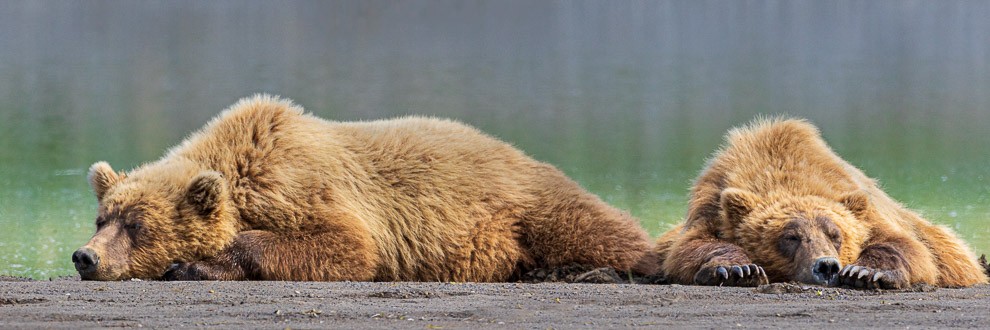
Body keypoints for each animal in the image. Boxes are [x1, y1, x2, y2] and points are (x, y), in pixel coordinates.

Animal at [656, 118, 988, 288]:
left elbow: (903, 245)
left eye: (835, 234)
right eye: (791, 237)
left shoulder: (863, 207)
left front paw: (865, 273)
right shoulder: (711, 202)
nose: (826, 266)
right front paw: (739, 269)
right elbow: (693, 245)